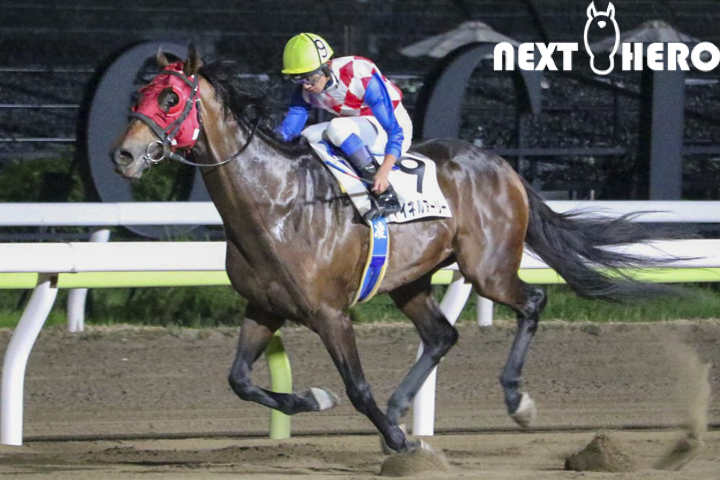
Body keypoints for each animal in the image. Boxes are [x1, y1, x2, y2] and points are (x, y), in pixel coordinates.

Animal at [112, 45, 678, 454]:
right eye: (138, 96)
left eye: (170, 99)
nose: (124, 154)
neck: (276, 205)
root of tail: (501, 164)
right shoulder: (264, 306)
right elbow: (239, 381)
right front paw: (313, 399)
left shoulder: (330, 313)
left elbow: (357, 388)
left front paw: (395, 439)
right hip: (410, 280)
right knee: (442, 335)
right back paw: (402, 405)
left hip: (488, 268)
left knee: (532, 303)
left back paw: (514, 399)